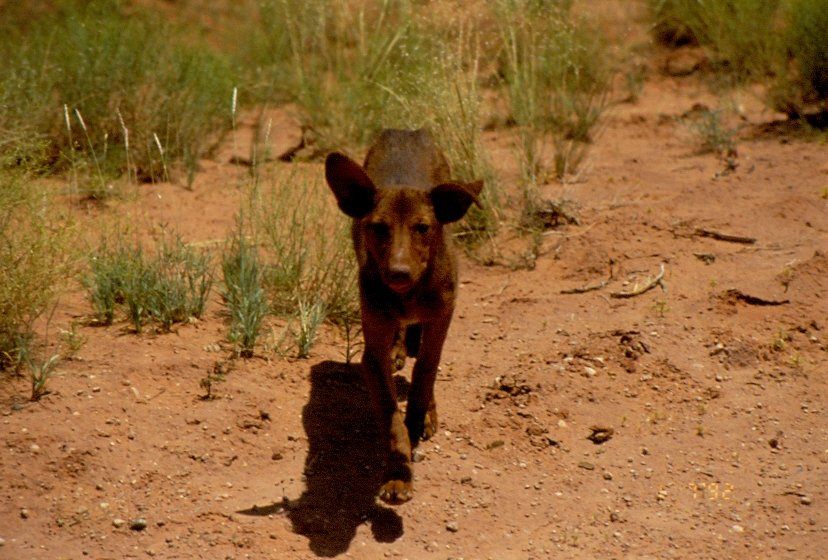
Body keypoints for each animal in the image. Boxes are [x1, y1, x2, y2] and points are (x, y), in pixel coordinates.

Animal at [322, 130, 478, 504]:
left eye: (422, 228)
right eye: (379, 227)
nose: (398, 273)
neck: (409, 295)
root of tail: (406, 130)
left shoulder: (442, 314)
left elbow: (425, 373)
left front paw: (419, 421)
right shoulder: (372, 352)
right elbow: (391, 419)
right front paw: (398, 474)